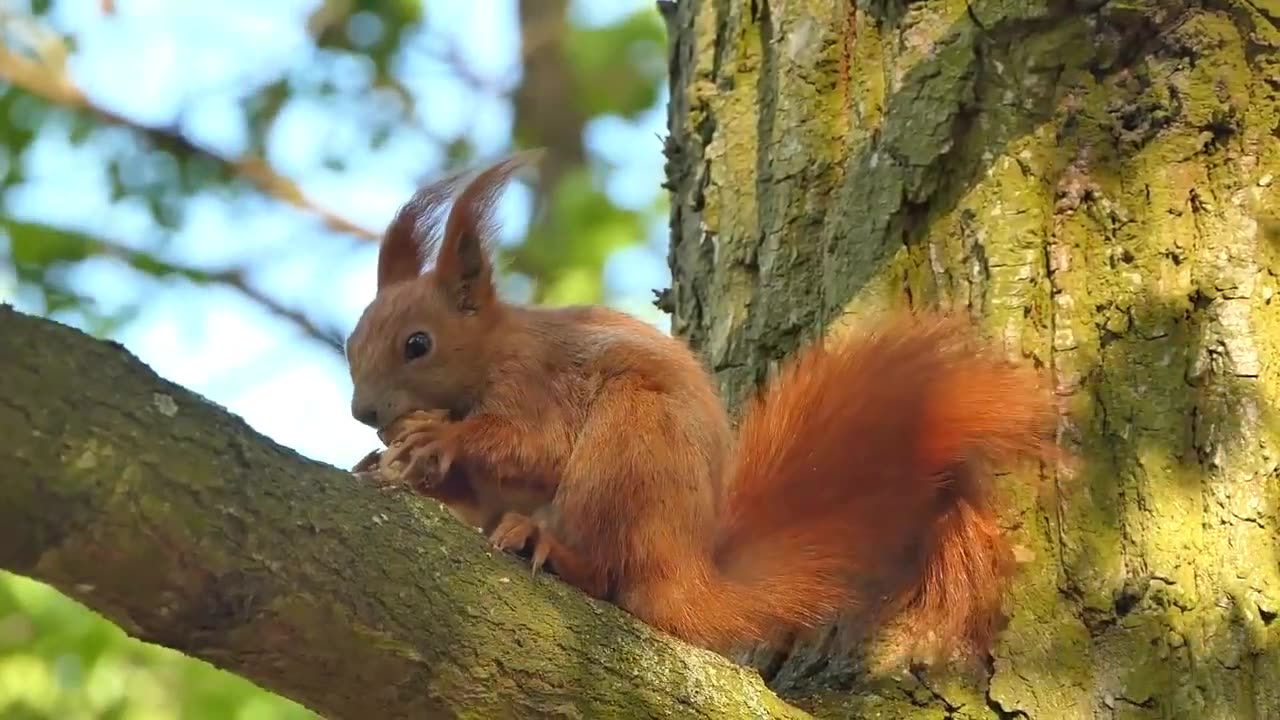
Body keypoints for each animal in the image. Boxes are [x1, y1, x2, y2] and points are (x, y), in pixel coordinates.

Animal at [343, 149, 1059, 661]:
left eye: (417, 344)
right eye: (351, 342)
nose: (363, 413)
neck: (493, 351)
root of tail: (686, 576)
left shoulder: (536, 381)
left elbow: (538, 447)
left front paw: (440, 440)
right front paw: (388, 466)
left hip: (630, 446)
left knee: (607, 575)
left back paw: (548, 546)